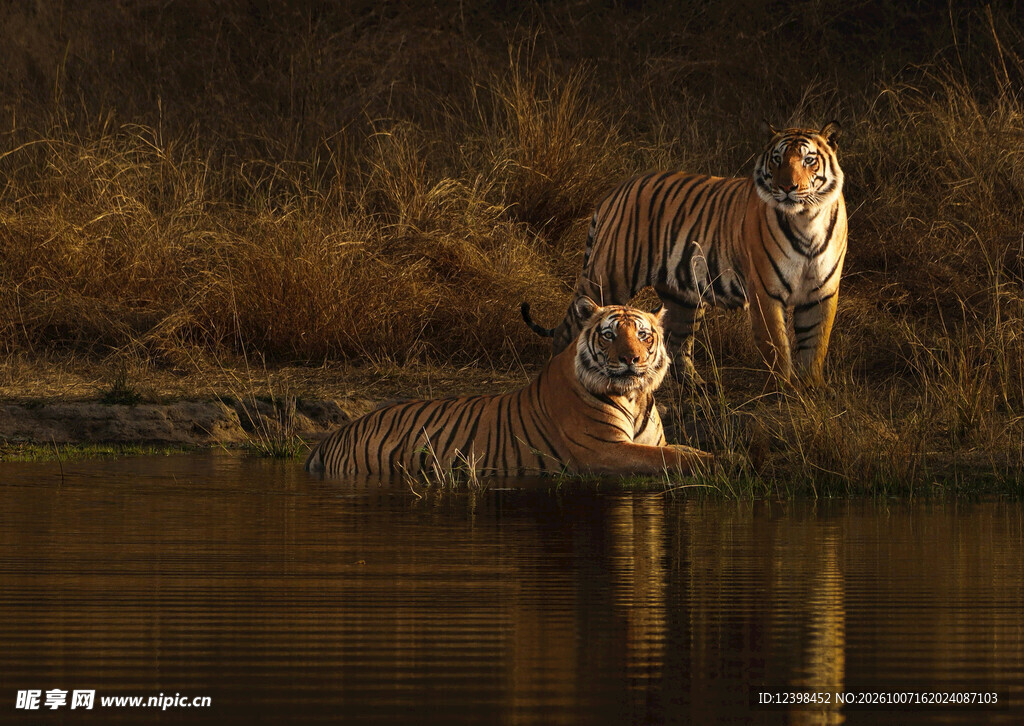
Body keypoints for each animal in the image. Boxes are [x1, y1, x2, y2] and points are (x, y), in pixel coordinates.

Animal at [305, 297, 714, 477]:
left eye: (643, 335)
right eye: (610, 335)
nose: (632, 359)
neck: (634, 396)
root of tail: (334, 435)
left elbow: (682, 450)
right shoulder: (605, 451)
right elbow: (673, 459)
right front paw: (725, 461)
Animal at [522, 122, 847, 388]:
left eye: (808, 160)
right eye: (777, 159)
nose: (787, 187)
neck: (807, 220)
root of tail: (617, 190)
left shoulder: (822, 292)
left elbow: (816, 343)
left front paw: (811, 389)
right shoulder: (766, 292)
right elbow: (777, 345)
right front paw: (784, 389)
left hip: (684, 295)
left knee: (676, 343)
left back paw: (698, 386)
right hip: (608, 277)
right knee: (569, 329)